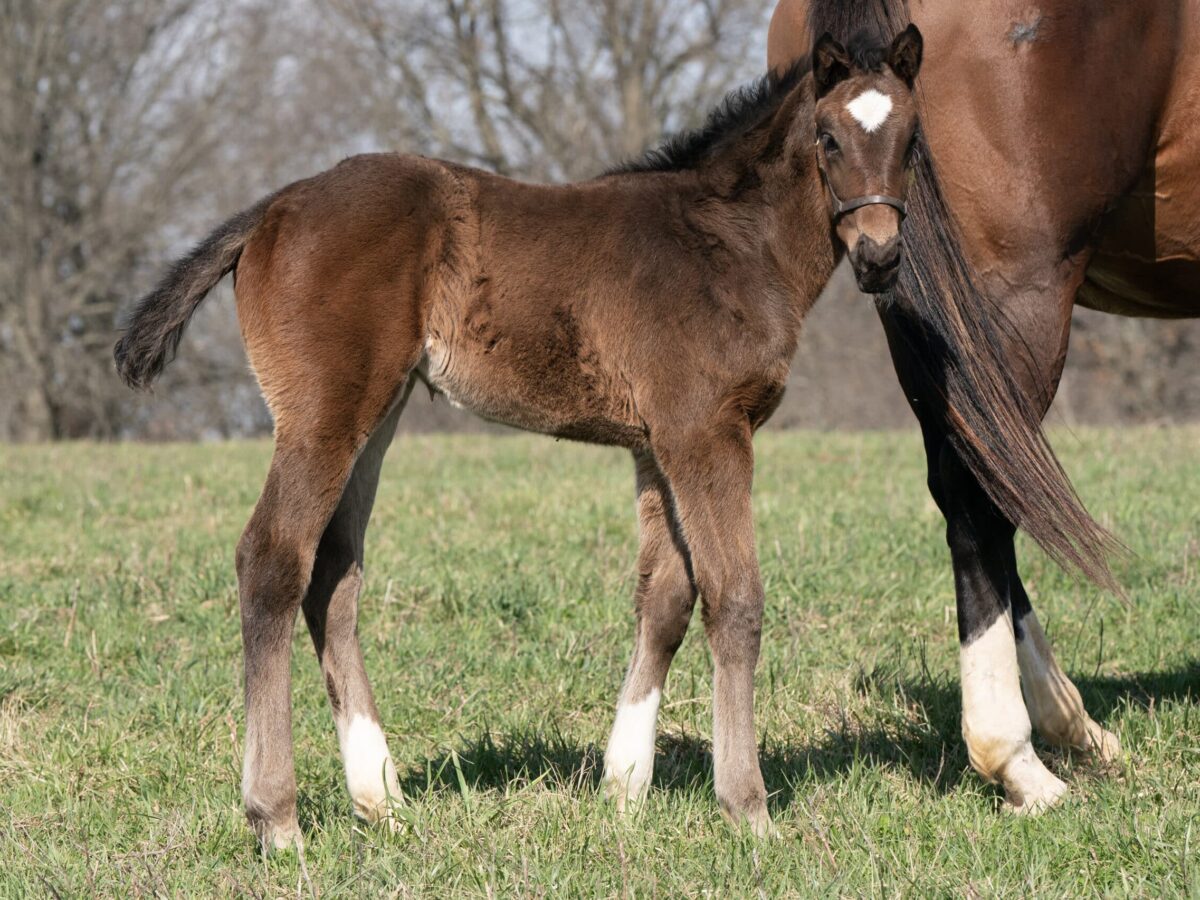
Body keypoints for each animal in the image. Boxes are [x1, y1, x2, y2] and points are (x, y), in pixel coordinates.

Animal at [117, 31, 926, 849]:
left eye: (912, 140)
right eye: (828, 137)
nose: (880, 257)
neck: (730, 242)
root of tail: (272, 209)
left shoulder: (655, 445)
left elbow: (666, 597)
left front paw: (624, 788)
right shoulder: (707, 432)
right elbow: (735, 599)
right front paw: (748, 809)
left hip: (377, 415)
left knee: (333, 572)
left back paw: (382, 798)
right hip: (322, 414)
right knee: (272, 560)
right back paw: (277, 819)